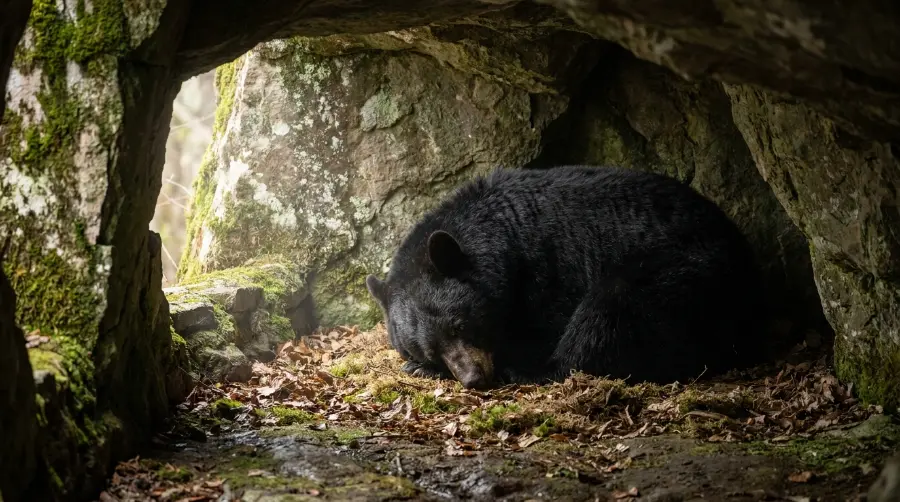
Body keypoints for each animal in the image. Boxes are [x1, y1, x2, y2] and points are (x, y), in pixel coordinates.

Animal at [365, 165, 768, 389]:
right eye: (431, 350)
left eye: (460, 325)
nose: (474, 379)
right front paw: (419, 367)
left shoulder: (550, 270)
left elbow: (546, 325)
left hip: (687, 273)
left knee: (610, 311)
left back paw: (535, 371)